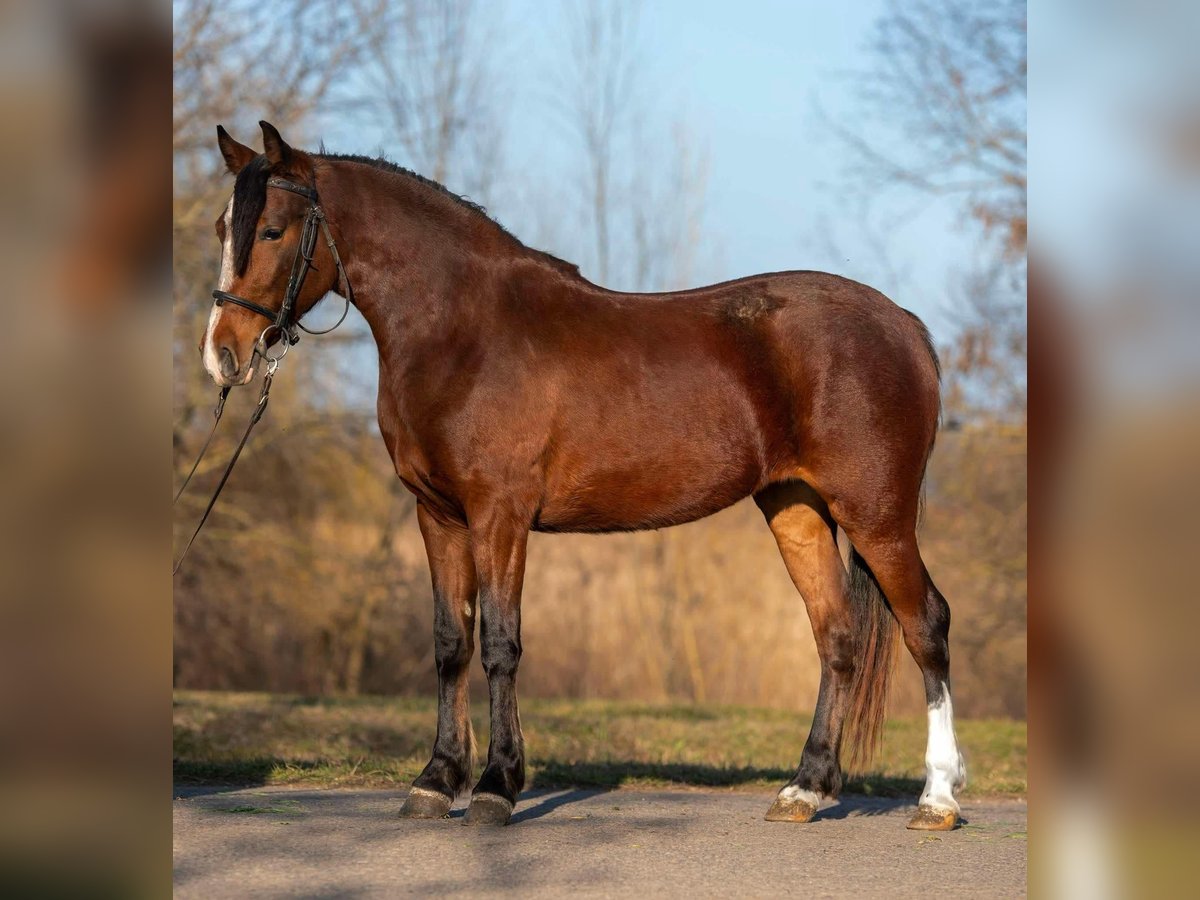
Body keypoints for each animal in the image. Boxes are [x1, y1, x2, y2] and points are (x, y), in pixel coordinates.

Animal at [196, 121, 964, 830]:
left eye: (272, 230)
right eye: (223, 228)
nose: (222, 356)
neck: (462, 331)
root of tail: (905, 326)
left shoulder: (499, 515)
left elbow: (499, 645)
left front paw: (497, 787)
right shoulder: (437, 515)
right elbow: (450, 644)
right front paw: (437, 780)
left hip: (877, 514)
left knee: (925, 624)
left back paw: (938, 800)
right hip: (796, 507)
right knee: (836, 636)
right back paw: (805, 789)